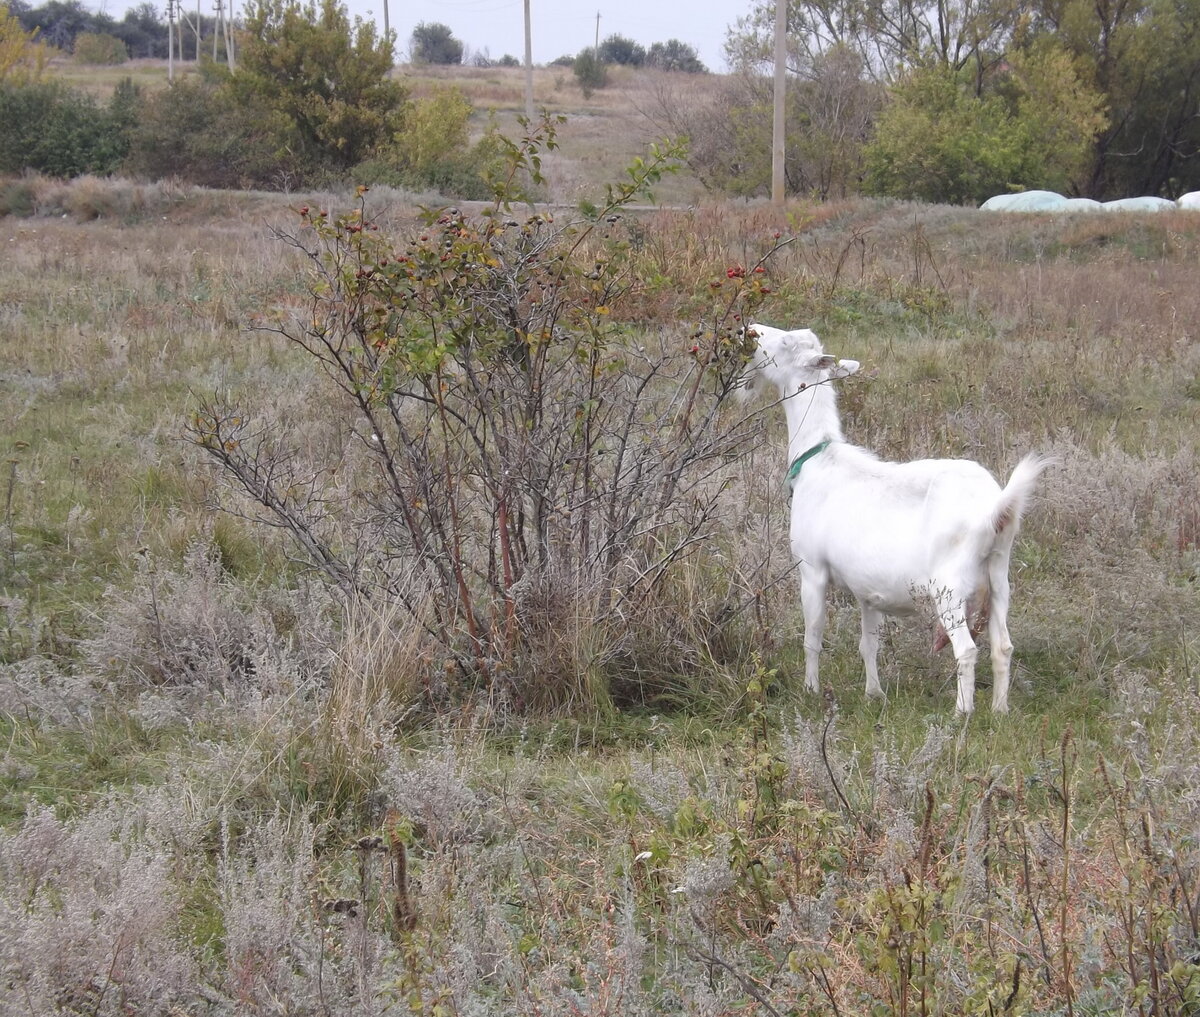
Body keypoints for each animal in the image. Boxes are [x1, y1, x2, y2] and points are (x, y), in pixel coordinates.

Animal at [744, 326, 1046, 714]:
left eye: (785, 343)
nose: (750, 329)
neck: (817, 458)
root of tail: (996, 507)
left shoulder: (811, 568)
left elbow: (813, 637)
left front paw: (810, 691)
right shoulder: (867, 590)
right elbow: (868, 644)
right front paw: (874, 695)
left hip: (950, 588)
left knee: (966, 649)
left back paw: (962, 713)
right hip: (999, 579)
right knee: (1003, 646)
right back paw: (999, 710)